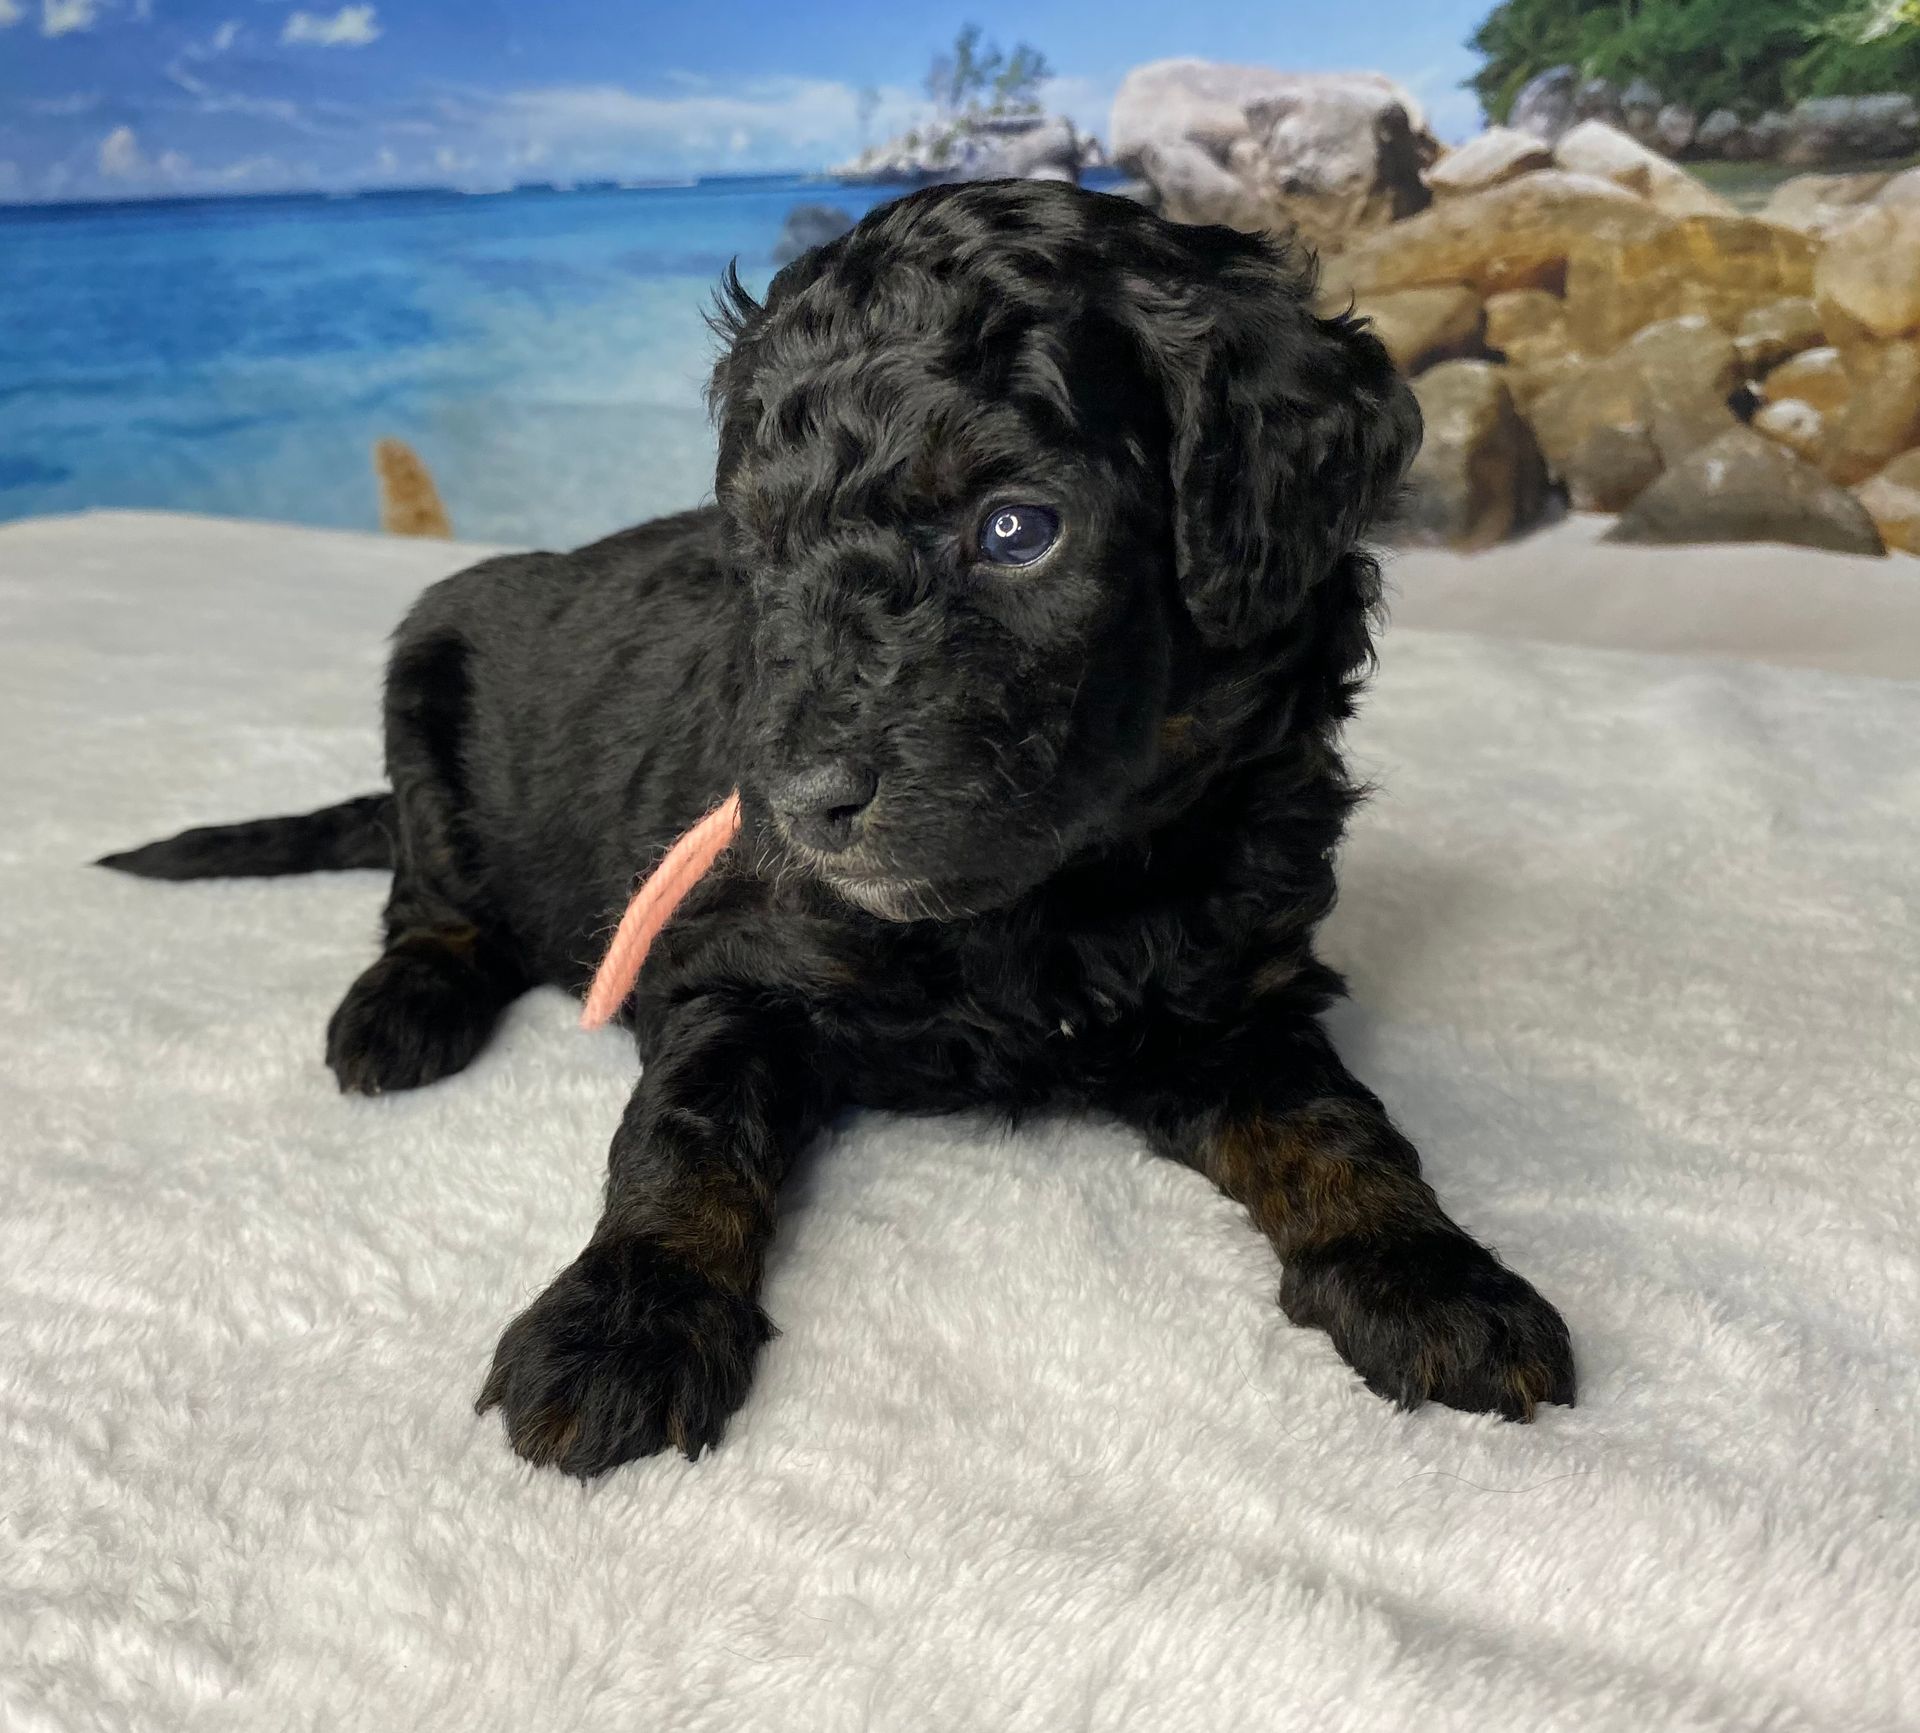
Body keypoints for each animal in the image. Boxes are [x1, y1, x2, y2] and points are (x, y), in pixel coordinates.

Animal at [105, 179, 1574, 1473]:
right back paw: (400, 1010)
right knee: (432, 898)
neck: (1053, 899)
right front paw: (627, 1319)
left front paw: (1432, 1275)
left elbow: (1335, 1123)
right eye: (759, 543)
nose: (804, 804)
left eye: (1017, 528)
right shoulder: (736, 959)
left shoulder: (1237, 988)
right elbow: (686, 1131)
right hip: (426, 679)